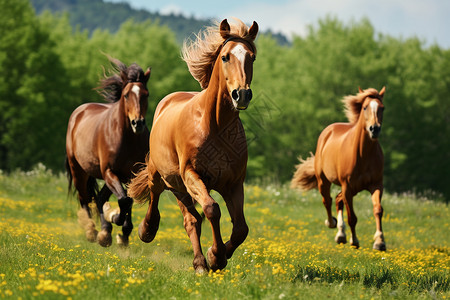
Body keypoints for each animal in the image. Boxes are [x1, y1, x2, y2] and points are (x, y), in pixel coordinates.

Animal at [66, 57, 151, 247]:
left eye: (146, 94)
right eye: (126, 95)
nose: (138, 123)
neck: (126, 138)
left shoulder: (131, 174)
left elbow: (128, 199)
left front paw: (123, 232)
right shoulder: (109, 171)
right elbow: (124, 199)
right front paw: (115, 218)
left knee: (99, 197)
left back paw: (105, 231)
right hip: (79, 171)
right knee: (84, 198)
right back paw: (93, 232)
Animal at [128, 18, 258, 272]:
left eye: (252, 57)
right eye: (225, 56)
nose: (241, 94)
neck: (215, 126)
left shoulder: (234, 183)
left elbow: (241, 229)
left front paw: (218, 256)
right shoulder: (191, 174)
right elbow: (212, 209)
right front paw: (215, 255)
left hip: (179, 187)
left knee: (192, 220)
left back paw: (199, 263)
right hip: (163, 176)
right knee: (158, 197)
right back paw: (148, 230)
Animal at [292, 86, 386, 251]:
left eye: (382, 108)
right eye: (365, 107)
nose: (374, 129)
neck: (363, 154)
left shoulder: (376, 185)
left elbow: (378, 210)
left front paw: (380, 242)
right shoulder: (347, 186)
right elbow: (352, 217)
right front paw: (354, 241)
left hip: (352, 188)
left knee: (337, 199)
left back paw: (340, 235)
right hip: (325, 181)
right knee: (327, 200)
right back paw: (333, 224)